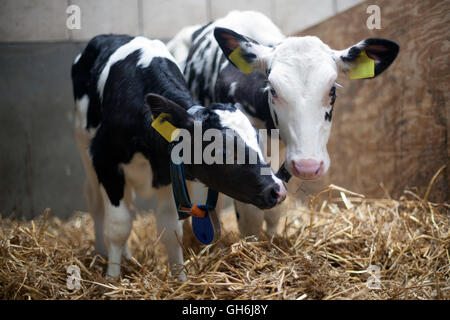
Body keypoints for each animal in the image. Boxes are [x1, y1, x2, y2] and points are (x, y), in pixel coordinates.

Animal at [72, 35, 286, 278]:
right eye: (221, 151)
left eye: (258, 138)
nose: (278, 190)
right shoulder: (105, 161)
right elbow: (118, 227)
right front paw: (112, 279)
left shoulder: (168, 173)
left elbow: (170, 230)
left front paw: (179, 278)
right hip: (85, 148)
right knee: (95, 201)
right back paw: (101, 253)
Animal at [171, 9, 400, 238]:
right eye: (273, 90)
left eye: (332, 89)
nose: (308, 166)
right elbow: (250, 217)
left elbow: (275, 210)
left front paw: (274, 239)